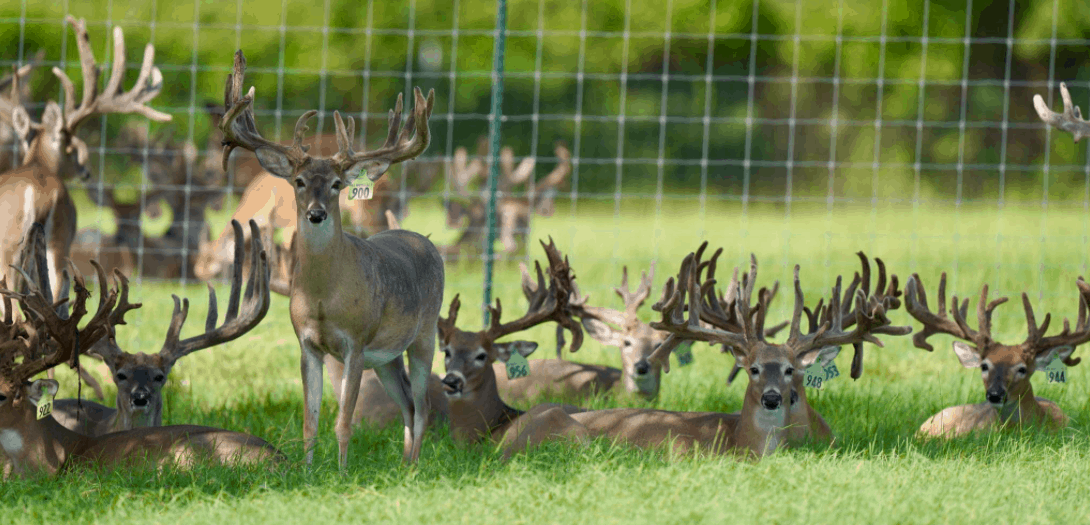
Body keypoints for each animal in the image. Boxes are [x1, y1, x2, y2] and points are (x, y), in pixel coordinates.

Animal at [217, 50, 442, 469]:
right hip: (387, 357)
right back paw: (404, 464)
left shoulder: (356, 341)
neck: (324, 298)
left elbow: (344, 421)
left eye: (337, 184)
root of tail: (427, 241)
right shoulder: (307, 343)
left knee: (423, 407)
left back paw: (415, 468)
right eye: (299, 181)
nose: (317, 214)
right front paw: (307, 472)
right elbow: (310, 420)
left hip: (425, 335)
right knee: (406, 405)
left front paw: (341, 472)